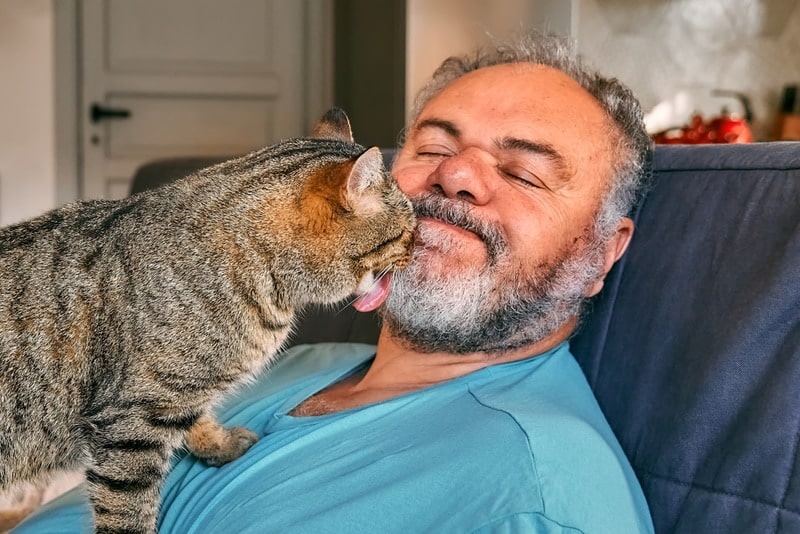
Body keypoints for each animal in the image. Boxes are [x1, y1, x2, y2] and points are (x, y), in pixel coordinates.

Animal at [1, 109, 418, 534]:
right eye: (407, 229)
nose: (419, 245)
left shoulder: (174, 395)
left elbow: (198, 417)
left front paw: (219, 444)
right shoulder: (132, 421)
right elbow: (128, 509)